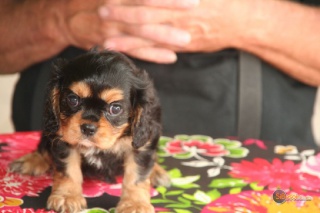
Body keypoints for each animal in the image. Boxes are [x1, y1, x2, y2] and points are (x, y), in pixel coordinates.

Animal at [9, 50, 170, 213]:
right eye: (73, 99)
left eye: (115, 108)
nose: (88, 128)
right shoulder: (63, 139)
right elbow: (69, 169)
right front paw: (67, 196)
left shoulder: (141, 147)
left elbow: (136, 176)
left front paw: (134, 205)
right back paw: (32, 160)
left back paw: (157, 172)